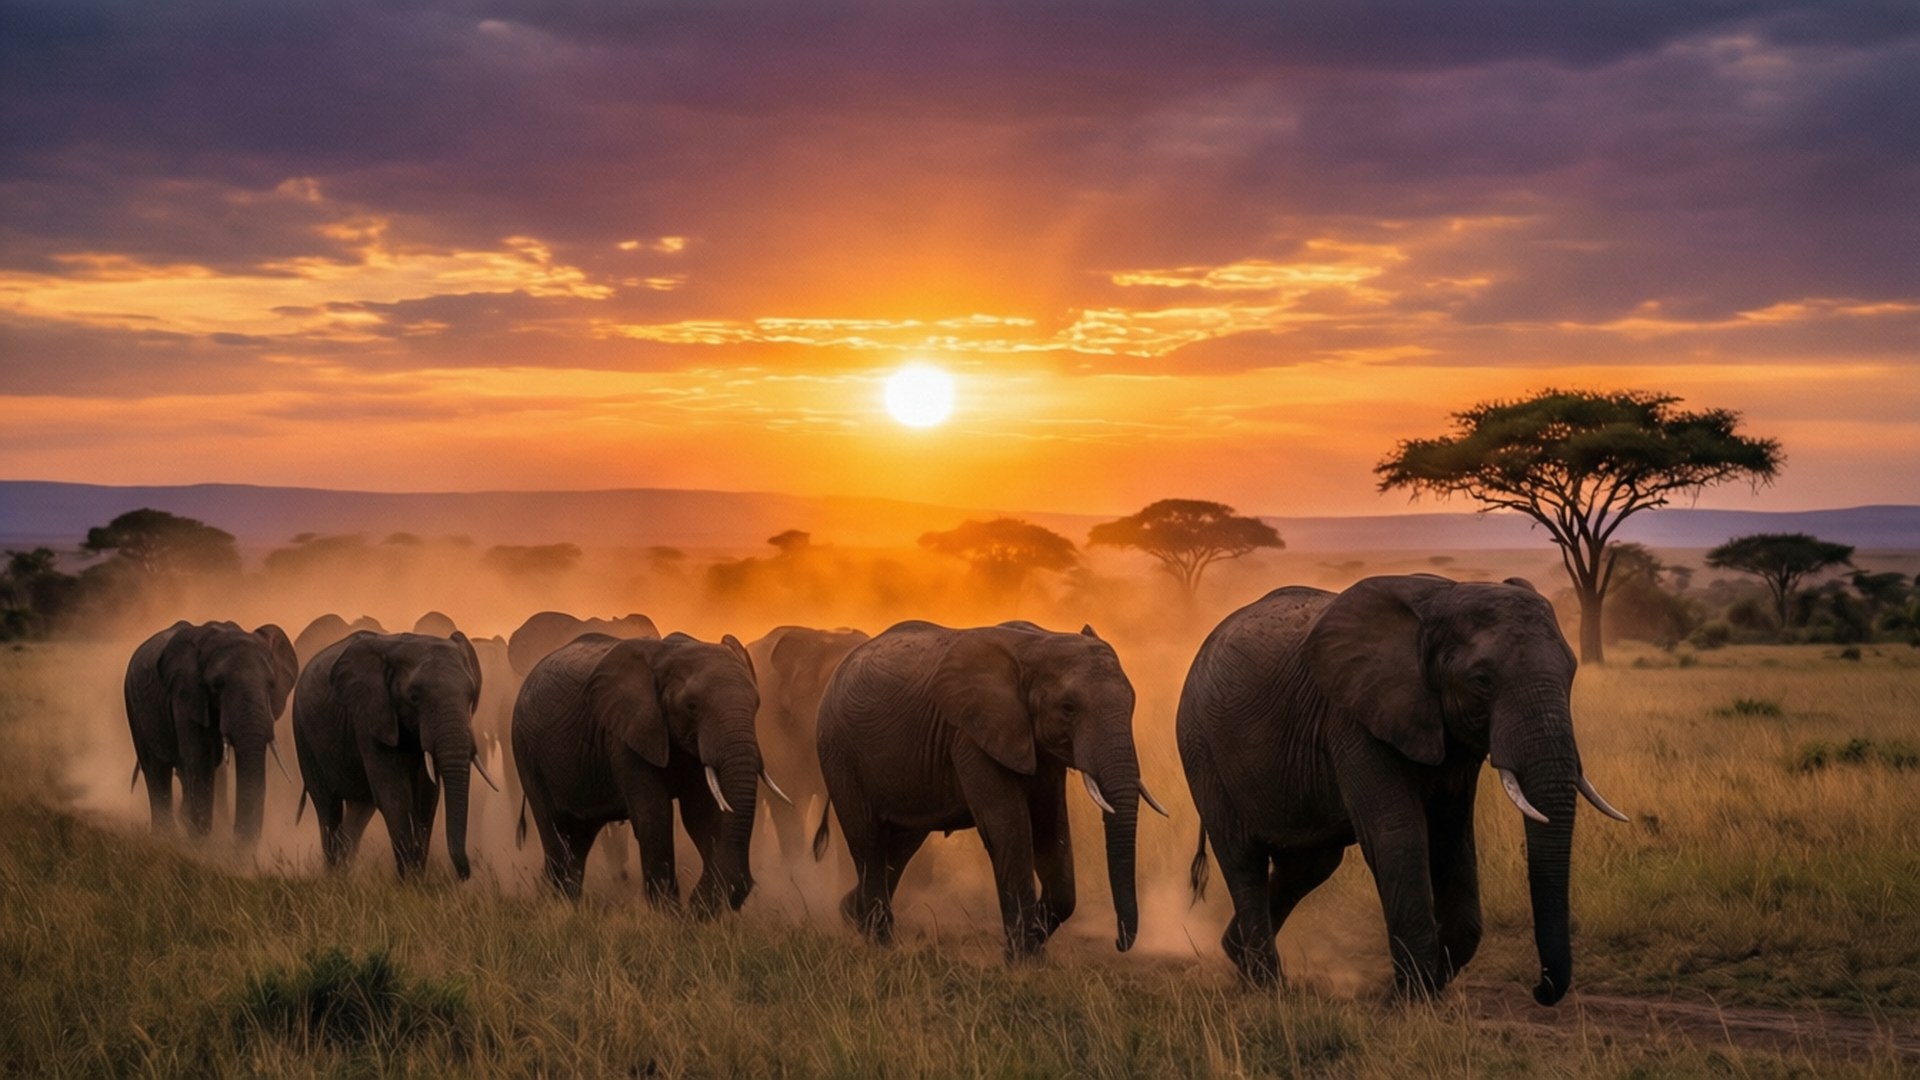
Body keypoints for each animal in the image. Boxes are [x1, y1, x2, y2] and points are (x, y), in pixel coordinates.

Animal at [125, 620, 298, 848]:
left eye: (271, 684)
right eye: (217, 685)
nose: (238, 843)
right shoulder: (186, 696)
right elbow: (199, 760)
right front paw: (201, 847)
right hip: (132, 703)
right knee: (155, 769)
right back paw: (164, 837)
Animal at [292, 630, 488, 879]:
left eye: (472, 696)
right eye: (414, 697)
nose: (465, 873)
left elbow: (427, 797)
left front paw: (417, 879)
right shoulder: (370, 715)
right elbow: (394, 797)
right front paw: (407, 882)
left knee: (359, 810)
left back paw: (345, 876)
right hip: (303, 734)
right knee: (328, 807)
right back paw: (333, 877)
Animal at [512, 632, 770, 912]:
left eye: (757, 703)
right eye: (692, 706)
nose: (733, 899)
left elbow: (700, 815)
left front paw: (697, 908)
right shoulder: (626, 734)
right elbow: (654, 816)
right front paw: (670, 916)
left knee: (578, 839)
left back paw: (566, 906)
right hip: (525, 751)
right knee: (555, 832)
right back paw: (556, 906)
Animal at [814, 620, 1166, 959]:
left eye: (1132, 703)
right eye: (1068, 708)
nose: (1119, 943)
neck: (1039, 643)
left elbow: (1051, 829)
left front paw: (1030, 947)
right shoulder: (972, 736)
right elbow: (1009, 828)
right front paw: (1024, 959)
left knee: (901, 845)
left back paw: (852, 916)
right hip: (838, 751)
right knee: (869, 840)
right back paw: (882, 944)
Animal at [1177, 575, 1629, 1005]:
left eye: (1571, 671)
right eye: (1481, 681)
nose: (1541, 989)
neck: (1442, 599)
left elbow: (1451, 838)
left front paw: (1429, 988)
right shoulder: (1354, 720)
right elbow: (1398, 836)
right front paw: (1409, 998)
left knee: (1309, 864)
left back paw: (1236, 954)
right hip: (1200, 747)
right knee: (1243, 858)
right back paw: (1268, 986)